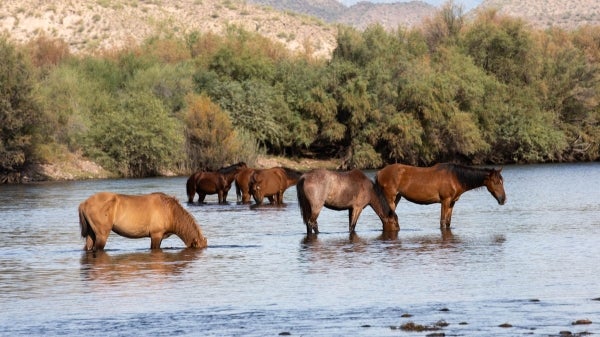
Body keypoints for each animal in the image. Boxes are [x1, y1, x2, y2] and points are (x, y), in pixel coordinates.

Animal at [79, 190, 209, 251]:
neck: (170, 211)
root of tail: (84, 203)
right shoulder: (156, 235)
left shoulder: (160, 237)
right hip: (102, 235)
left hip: (91, 234)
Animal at [376, 162, 506, 228]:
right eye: (495, 182)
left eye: (502, 181)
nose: (503, 199)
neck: (455, 178)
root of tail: (380, 172)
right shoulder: (445, 200)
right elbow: (442, 222)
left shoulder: (452, 202)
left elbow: (448, 222)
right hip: (390, 198)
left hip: (397, 198)